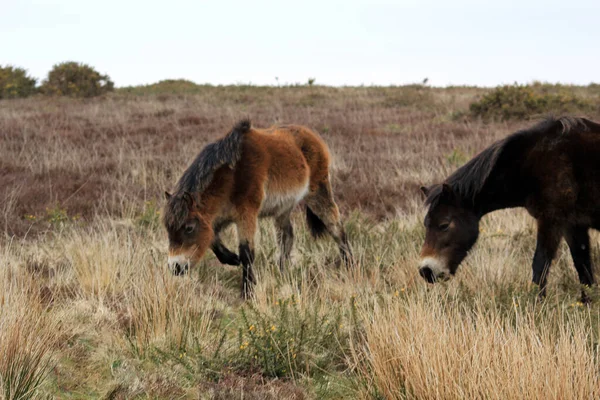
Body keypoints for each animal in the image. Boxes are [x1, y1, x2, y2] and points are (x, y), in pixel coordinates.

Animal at [164, 118, 352, 296]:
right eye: (168, 229)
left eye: (189, 228)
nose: (175, 267)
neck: (233, 176)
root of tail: (313, 137)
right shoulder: (218, 218)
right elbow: (213, 240)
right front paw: (232, 259)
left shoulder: (246, 215)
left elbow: (247, 253)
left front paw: (248, 292)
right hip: (283, 209)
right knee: (287, 237)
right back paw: (281, 273)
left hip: (318, 194)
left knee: (336, 228)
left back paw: (350, 265)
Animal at [418, 117, 600, 302]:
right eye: (426, 224)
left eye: (444, 225)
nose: (426, 271)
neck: (536, 161)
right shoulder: (573, 226)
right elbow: (582, 265)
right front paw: (588, 303)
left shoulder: (551, 221)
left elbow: (540, 263)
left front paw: (536, 303)